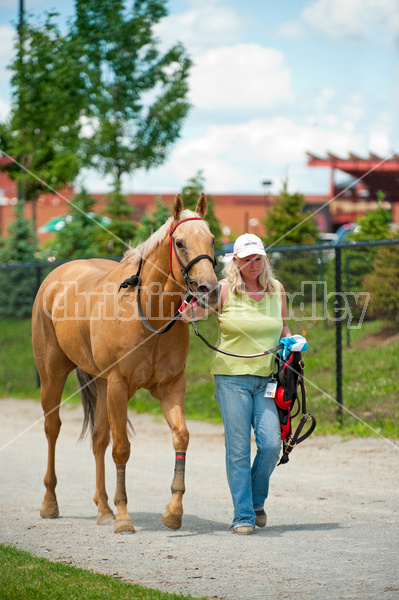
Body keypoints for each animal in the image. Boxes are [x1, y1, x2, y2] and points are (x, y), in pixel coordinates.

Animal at [32, 195, 219, 532]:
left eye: (211, 240)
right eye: (180, 243)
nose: (209, 290)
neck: (149, 315)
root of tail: (54, 278)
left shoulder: (171, 387)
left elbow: (181, 436)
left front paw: (173, 511)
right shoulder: (119, 386)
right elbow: (121, 448)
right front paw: (123, 516)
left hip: (101, 383)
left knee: (98, 440)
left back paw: (103, 507)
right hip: (53, 375)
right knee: (53, 429)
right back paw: (50, 503)